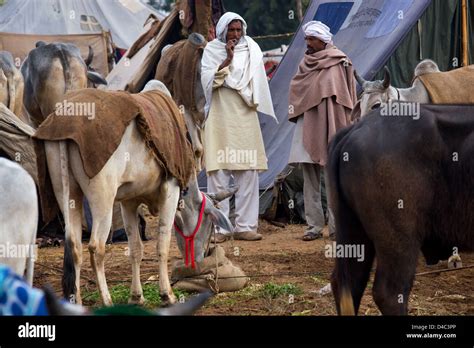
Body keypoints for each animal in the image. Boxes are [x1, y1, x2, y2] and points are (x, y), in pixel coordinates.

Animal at [45, 81, 231, 304]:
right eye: (209, 224)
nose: (201, 258)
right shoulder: (170, 190)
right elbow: (162, 244)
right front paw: (167, 294)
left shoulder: (128, 202)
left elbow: (135, 249)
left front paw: (136, 296)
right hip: (103, 199)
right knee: (96, 247)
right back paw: (107, 300)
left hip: (68, 194)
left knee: (74, 247)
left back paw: (77, 303)